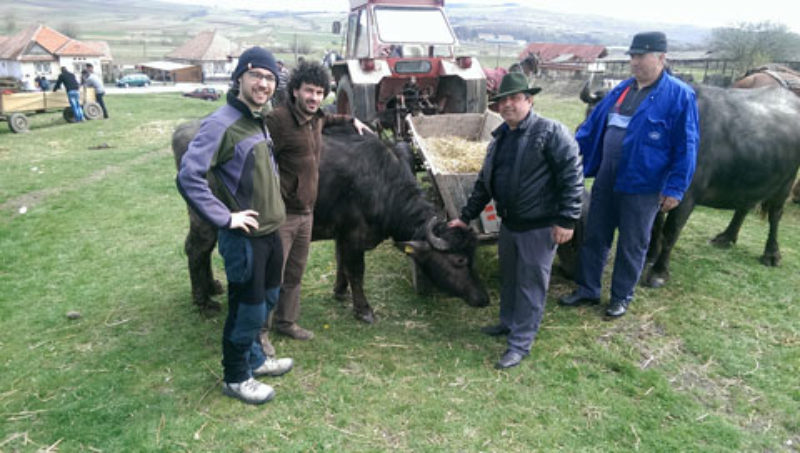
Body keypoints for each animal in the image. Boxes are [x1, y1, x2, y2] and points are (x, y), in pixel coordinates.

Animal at [172, 120, 490, 322]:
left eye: (474, 257)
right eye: (459, 261)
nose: (484, 299)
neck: (382, 183)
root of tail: (185, 131)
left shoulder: (342, 234)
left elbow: (341, 264)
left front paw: (340, 291)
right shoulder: (355, 236)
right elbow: (356, 271)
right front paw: (363, 309)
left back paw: (212, 286)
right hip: (205, 217)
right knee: (196, 249)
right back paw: (203, 301)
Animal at [580, 85, 800, 286]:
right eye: (590, 115)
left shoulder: (685, 197)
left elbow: (671, 231)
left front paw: (659, 271)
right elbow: (655, 225)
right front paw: (650, 254)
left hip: (785, 184)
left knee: (775, 216)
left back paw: (771, 254)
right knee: (743, 207)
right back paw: (726, 237)